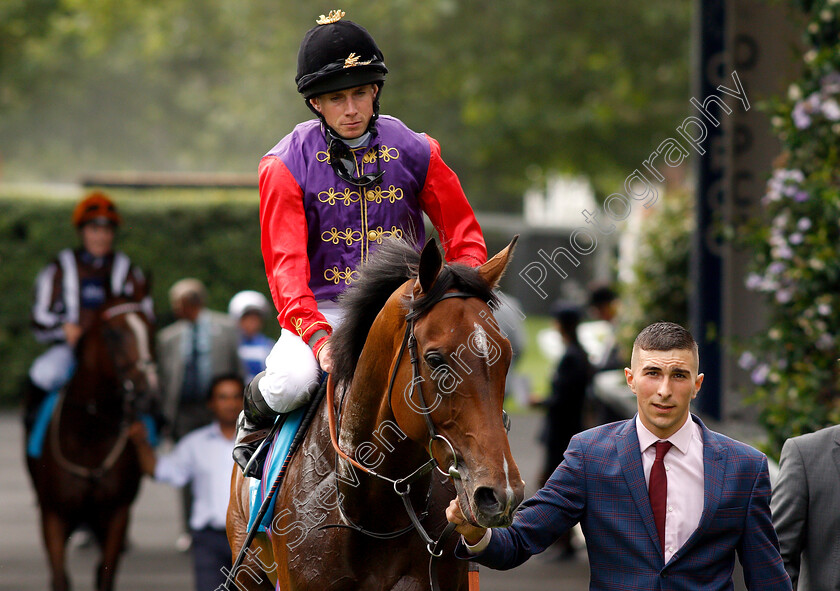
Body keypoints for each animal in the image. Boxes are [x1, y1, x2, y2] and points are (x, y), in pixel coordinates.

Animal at [25, 300, 159, 591]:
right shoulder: (53, 515)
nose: (149, 395)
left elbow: (105, 576)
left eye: (151, 329)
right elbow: (60, 578)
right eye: (114, 333)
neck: (88, 435)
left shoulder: (117, 514)